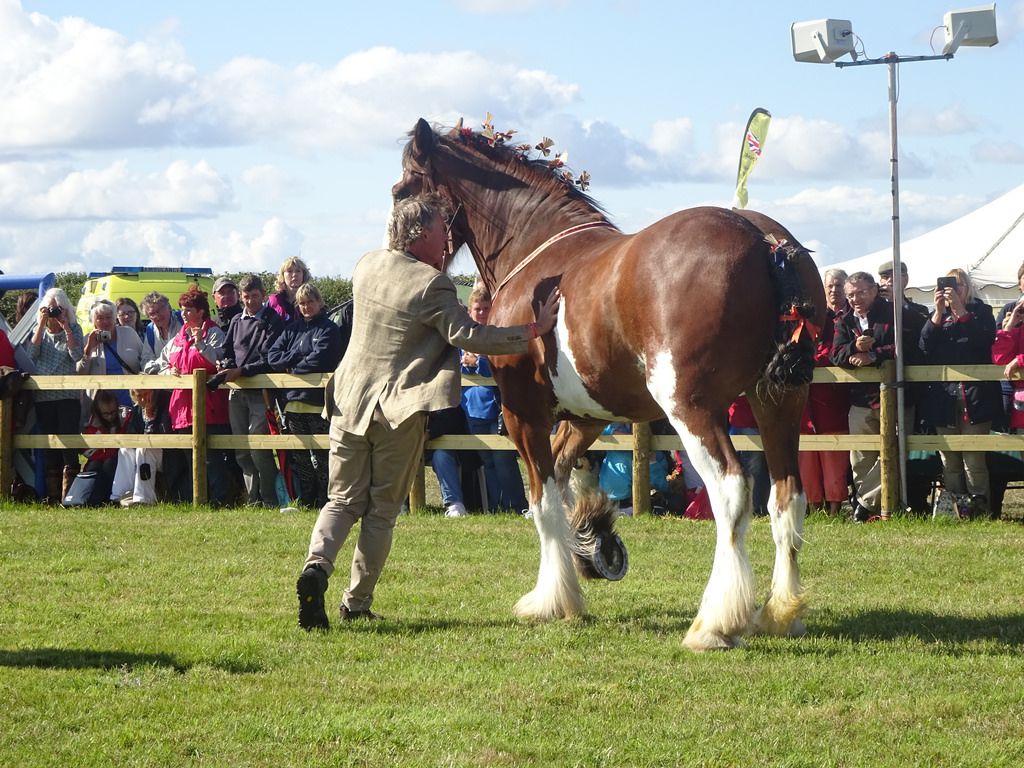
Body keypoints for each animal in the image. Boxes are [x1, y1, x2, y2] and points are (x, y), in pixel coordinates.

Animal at [389, 117, 823, 651]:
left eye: (401, 189)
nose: (398, 249)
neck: (539, 254)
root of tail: (765, 240)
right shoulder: (586, 418)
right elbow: (562, 480)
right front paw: (591, 543)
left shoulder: (522, 412)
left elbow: (542, 502)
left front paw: (551, 600)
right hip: (778, 402)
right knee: (786, 498)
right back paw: (782, 613)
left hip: (692, 408)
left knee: (732, 492)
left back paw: (715, 623)